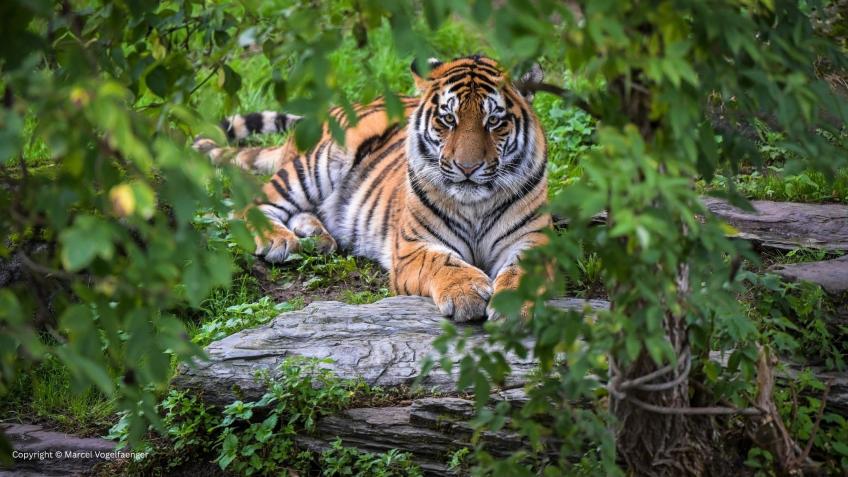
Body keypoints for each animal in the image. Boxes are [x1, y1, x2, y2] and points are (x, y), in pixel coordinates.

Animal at [193, 55, 550, 321]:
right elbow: (443, 262)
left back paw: (317, 237)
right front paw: (467, 292)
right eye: (448, 119)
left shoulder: (534, 240)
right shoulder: (412, 247)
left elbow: (523, 272)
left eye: (494, 121)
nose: (467, 167)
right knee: (249, 207)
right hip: (318, 164)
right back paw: (279, 240)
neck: (475, 204)